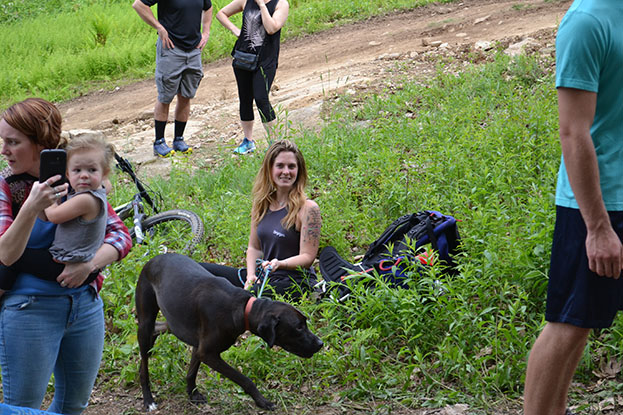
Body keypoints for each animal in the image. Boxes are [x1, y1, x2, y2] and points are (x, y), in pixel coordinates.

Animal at [135, 254, 322, 412]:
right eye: (298, 327)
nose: (320, 344)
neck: (243, 308)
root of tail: (154, 258)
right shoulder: (208, 353)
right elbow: (245, 380)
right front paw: (262, 401)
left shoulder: (199, 346)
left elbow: (191, 373)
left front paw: (192, 394)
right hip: (145, 323)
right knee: (144, 367)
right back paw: (148, 400)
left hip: (174, 321)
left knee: (158, 328)